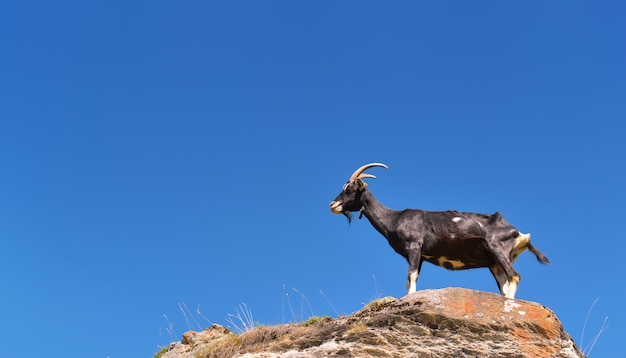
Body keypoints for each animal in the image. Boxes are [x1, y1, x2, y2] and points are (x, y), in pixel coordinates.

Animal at [330, 164, 548, 298]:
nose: (332, 205)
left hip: (498, 249)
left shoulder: (414, 245)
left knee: (515, 276)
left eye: (350, 189)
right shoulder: (420, 256)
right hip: (494, 263)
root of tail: (519, 233)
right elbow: (409, 278)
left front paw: (410, 297)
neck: (394, 218)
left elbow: (411, 276)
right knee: (505, 283)